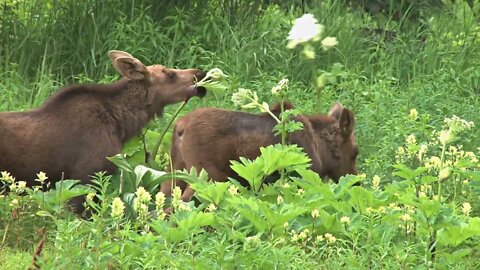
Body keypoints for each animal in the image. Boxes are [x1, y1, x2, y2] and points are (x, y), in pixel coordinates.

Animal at [162, 102, 360, 201]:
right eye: (355, 152)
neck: (321, 151)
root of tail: (179, 127)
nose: (356, 182)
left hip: (174, 172)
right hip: (206, 176)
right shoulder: (301, 176)